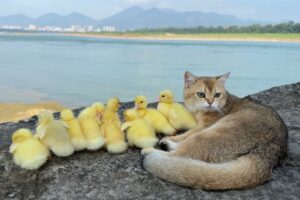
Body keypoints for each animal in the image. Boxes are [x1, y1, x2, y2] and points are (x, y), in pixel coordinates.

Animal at [142, 71, 288, 191]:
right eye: (201, 94)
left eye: (217, 95)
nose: (210, 102)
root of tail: (268, 152)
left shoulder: (202, 127)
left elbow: (185, 135)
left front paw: (172, 137)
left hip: (210, 135)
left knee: (179, 155)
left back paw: (151, 151)